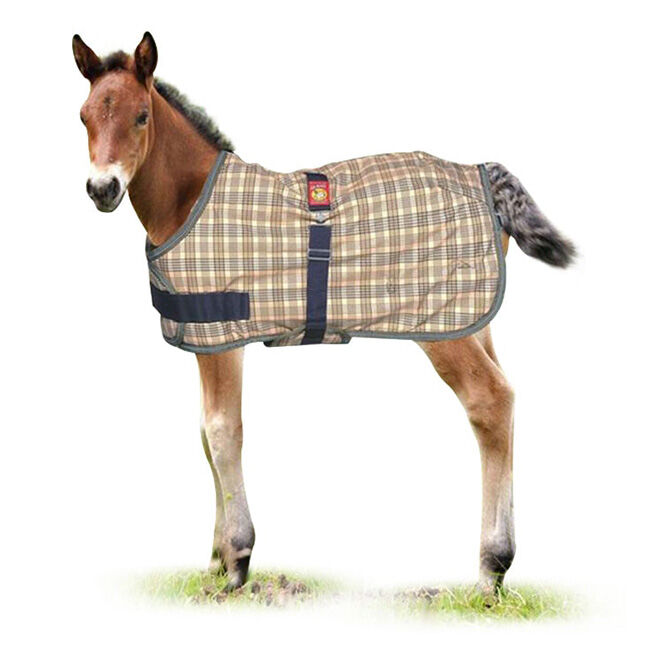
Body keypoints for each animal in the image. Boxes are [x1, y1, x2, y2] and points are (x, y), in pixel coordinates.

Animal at [72, 32, 575, 596]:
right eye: (84, 116)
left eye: (141, 116)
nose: (102, 189)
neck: (190, 201)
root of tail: (484, 177)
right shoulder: (214, 339)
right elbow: (204, 435)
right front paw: (215, 561)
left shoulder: (220, 334)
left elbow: (223, 432)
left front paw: (237, 561)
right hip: (471, 318)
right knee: (505, 397)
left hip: (443, 329)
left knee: (490, 402)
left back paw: (491, 570)